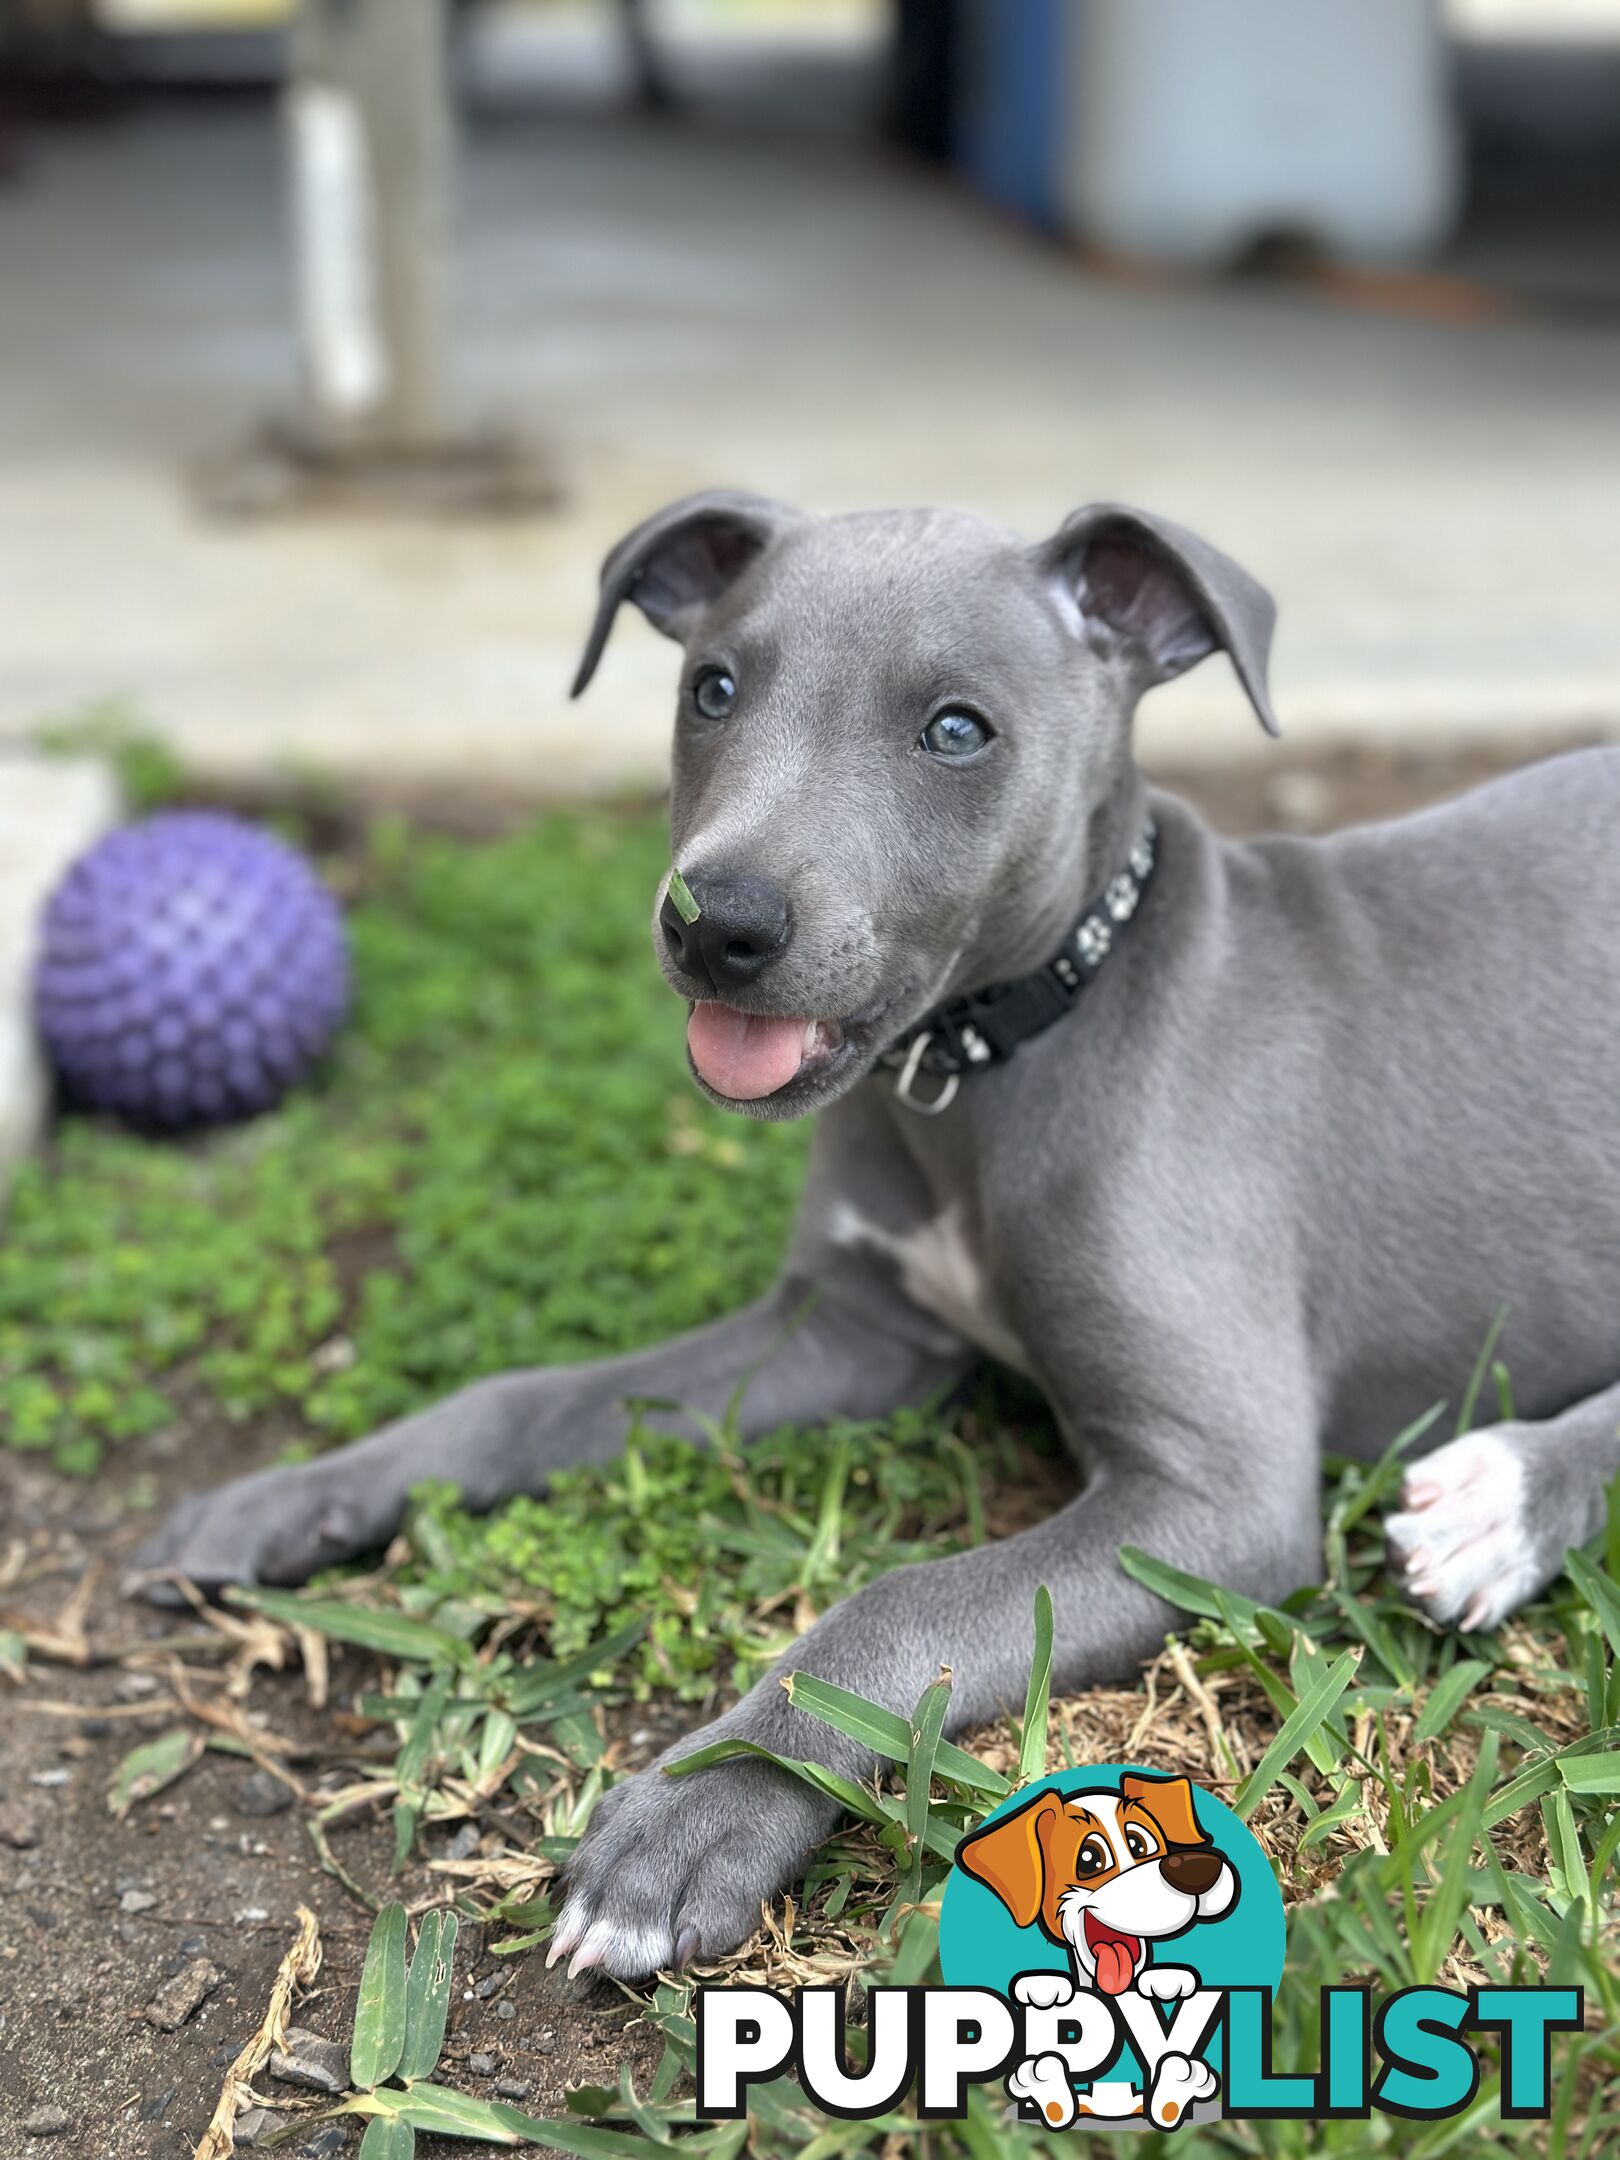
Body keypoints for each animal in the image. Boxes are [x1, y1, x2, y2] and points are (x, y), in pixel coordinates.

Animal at [133, 496, 1620, 1978]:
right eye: (711, 689)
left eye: (957, 730)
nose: (716, 924)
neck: (978, 1073)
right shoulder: (850, 1330)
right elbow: (521, 1401)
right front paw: (292, 1496)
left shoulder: (1217, 1496)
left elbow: (901, 1605)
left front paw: (697, 1810)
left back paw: (1499, 1503)